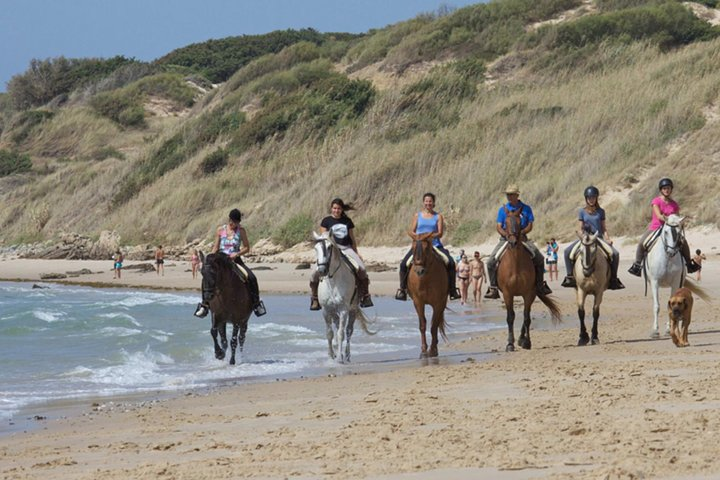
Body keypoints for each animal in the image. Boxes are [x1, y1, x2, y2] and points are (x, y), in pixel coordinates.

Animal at [312, 231, 374, 362]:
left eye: (329, 247)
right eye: (315, 248)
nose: (322, 271)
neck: (333, 281)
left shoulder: (344, 310)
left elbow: (341, 333)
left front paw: (340, 357)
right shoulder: (326, 310)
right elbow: (329, 333)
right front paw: (331, 355)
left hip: (352, 310)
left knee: (349, 331)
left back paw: (347, 355)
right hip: (334, 312)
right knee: (337, 326)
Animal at [496, 210, 564, 352]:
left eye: (519, 222)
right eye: (506, 222)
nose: (512, 242)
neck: (516, 264)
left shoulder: (529, 293)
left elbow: (526, 318)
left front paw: (527, 342)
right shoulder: (507, 293)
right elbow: (510, 317)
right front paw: (510, 344)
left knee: (526, 315)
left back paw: (522, 339)